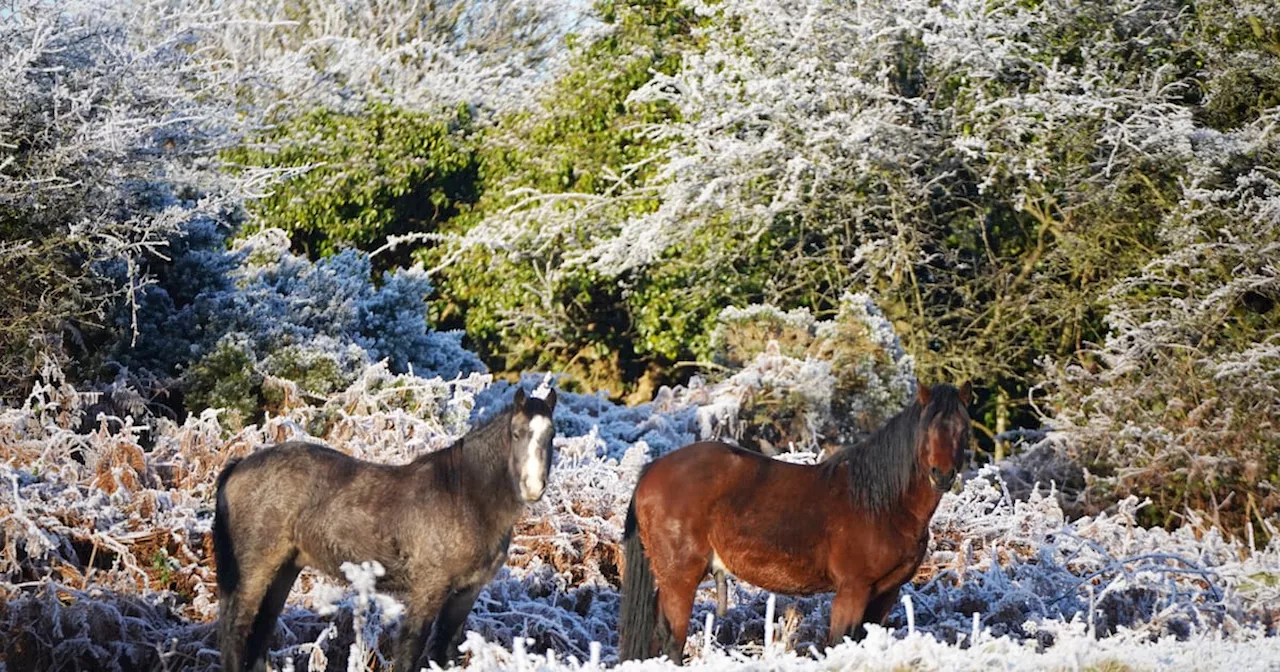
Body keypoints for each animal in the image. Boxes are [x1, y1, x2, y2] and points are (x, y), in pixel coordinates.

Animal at [616, 378, 967, 655]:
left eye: (962, 430)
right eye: (927, 428)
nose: (942, 475)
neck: (883, 505)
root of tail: (652, 470)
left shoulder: (886, 593)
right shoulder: (852, 590)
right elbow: (839, 643)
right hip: (679, 580)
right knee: (670, 640)